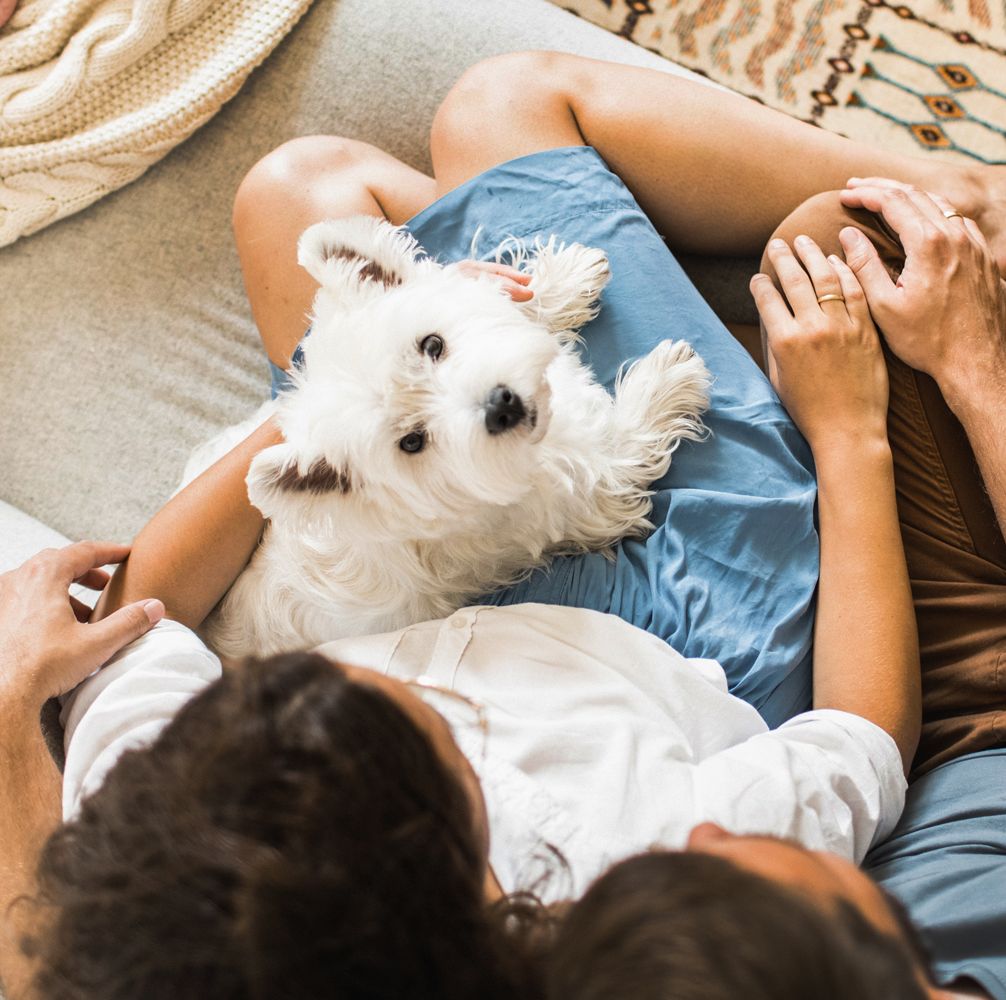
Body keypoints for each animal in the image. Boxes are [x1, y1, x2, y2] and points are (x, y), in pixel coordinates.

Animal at [192, 215, 712, 659]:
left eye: (432, 344)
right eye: (412, 442)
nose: (502, 405)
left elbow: (502, 300)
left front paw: (564, 280)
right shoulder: (589, 493)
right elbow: (629, 442)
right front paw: (667, 378)